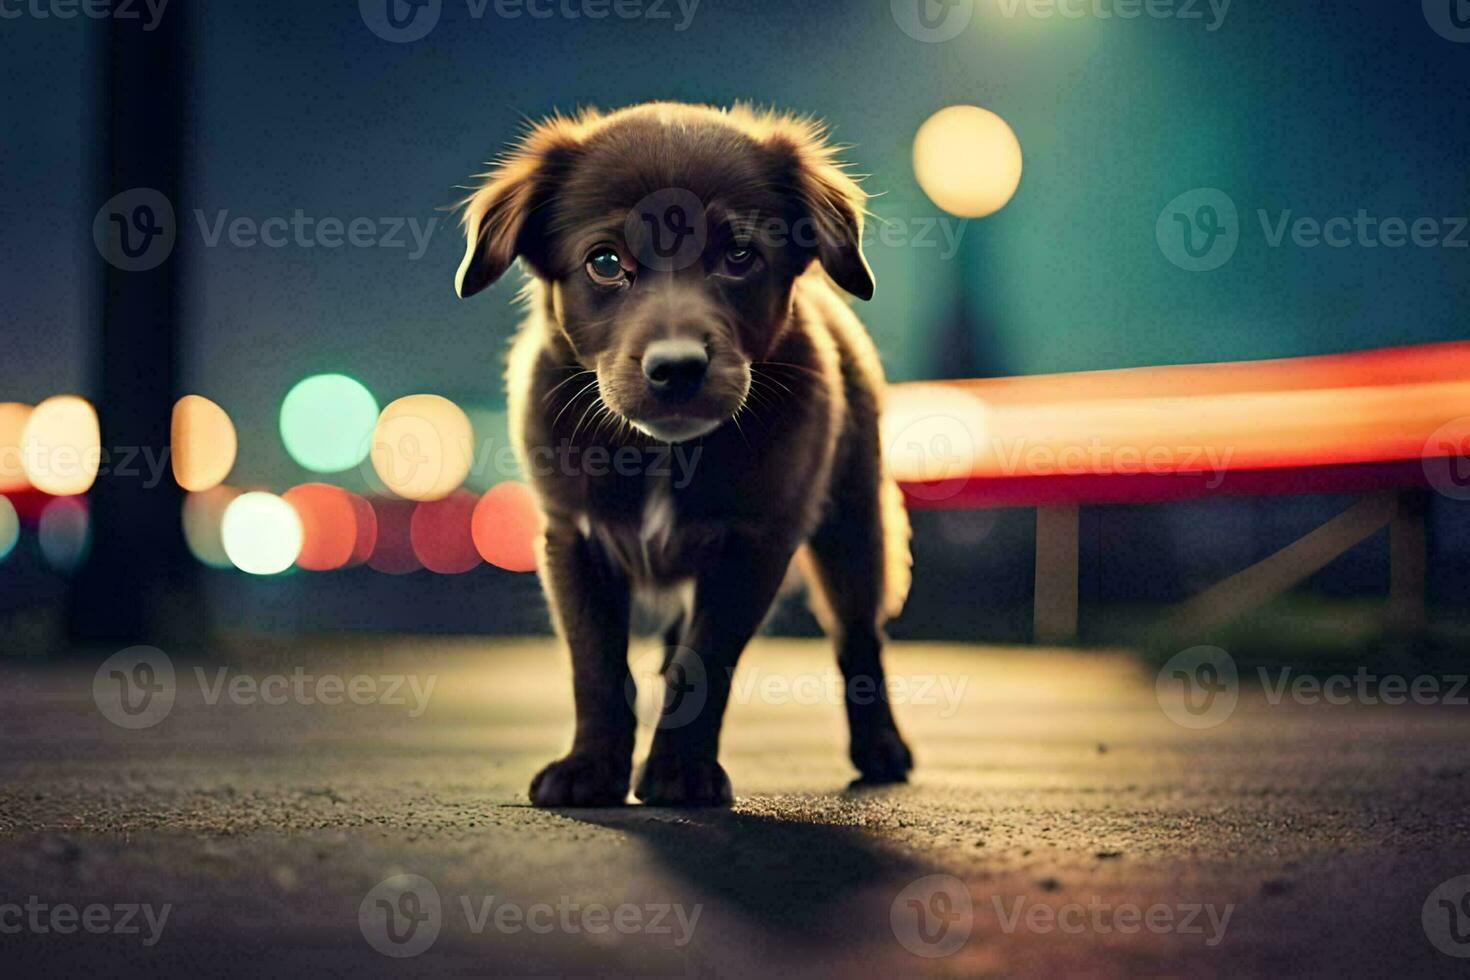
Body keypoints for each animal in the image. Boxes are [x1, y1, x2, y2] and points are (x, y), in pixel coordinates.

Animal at [458, 101, 911, 805]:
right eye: (605, 261)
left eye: (740, 255)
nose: (676, 368)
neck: (665, 454)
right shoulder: (572, 537)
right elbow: (595, 662)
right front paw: (591, 768)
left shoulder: (754, 543)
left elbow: (706, 661)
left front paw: (679, 774)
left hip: (853, 521)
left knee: (858, 634)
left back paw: (881, 748)